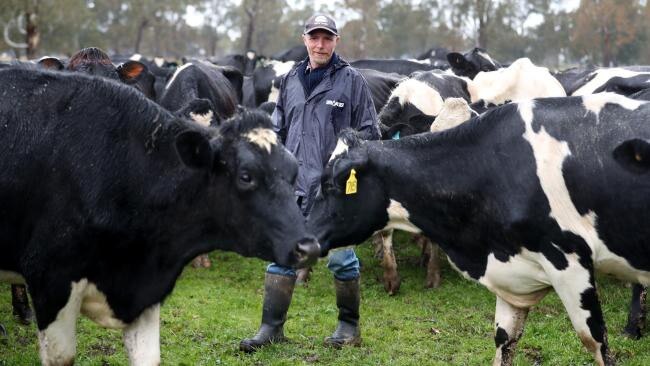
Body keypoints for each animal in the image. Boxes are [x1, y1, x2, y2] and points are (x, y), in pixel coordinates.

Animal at [308, 93, 648, 364]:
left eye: (330, 184)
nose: (305, 240)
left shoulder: (570, 261)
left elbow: (596, 342)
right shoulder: (512, 270)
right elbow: (504, 338)